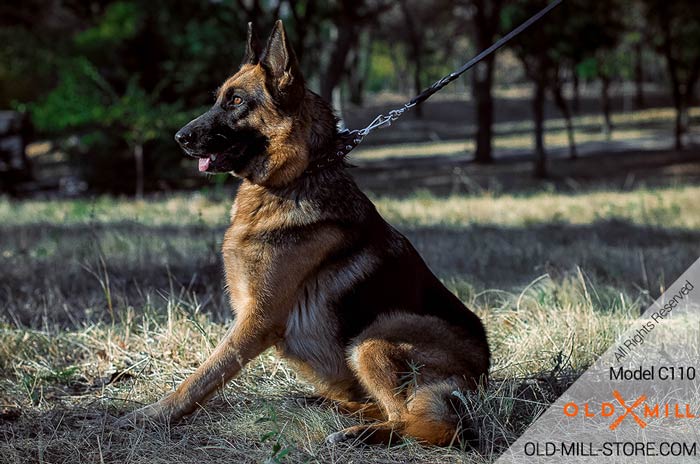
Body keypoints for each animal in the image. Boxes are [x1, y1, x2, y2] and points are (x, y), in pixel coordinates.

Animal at [124, 20, 486, 446]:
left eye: (236, 102)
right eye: (217, 100)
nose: (179, 137)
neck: (295, 178)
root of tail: (483, 377)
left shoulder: (257, 320)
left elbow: (204, 374)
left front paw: (152, 414)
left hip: (371, 340)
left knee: (419, 422)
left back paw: (356, 433)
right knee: (389, 409)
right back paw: (331, 406)